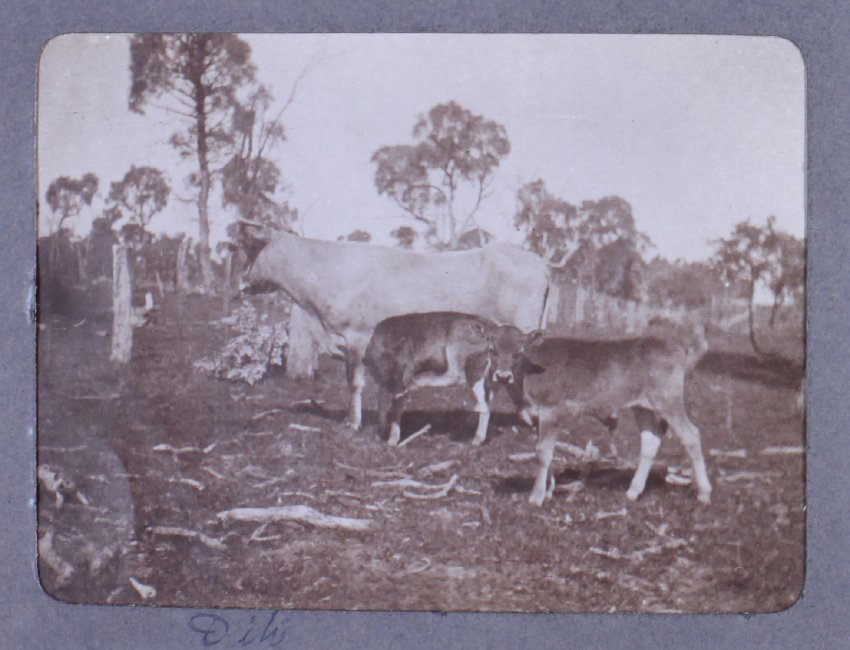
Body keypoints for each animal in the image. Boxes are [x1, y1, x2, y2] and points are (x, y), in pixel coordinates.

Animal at [241, 227, 551, 429]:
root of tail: (539, 262)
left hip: (518, 335)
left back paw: (524, 418)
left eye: (251, 249)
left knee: (514, 377)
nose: (241, 284)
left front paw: (353, 422)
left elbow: (355, 382)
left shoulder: (358, 336)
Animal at [363, 312, 523, 446]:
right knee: (487, 400)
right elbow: (395, 408)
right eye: (494, 350)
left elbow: (384, 404)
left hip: (466, 361)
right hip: (492, 377)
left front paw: (381, 435)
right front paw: (392, 439)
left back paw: (476, 440)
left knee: (478, 399)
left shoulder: (390, 380)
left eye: (519, 353)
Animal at [489, 321, 712, 506]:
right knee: (651, 439)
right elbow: (547, 452)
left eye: (519, 352)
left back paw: (704, 493)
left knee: (691, 435)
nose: (502, 376)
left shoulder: (552, 411)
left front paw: (536, 497)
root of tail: (675, 344)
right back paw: (633, 491)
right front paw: (549, 491)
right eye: (492, 350)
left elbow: (543, 452)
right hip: (643, 406)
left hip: (668, 398)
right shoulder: (536, 416)